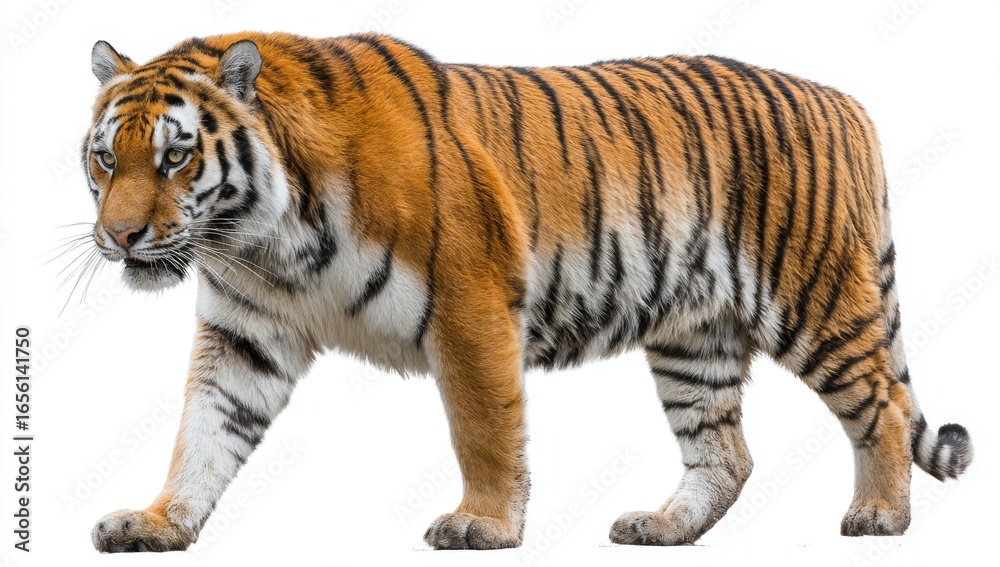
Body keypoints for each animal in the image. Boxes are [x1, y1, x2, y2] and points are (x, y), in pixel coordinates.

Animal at [81, 31, 972, 552]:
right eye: (105, 158)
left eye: (175, 157)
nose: (119, 236)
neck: (264, 240)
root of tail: (844, 102)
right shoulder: (246, 329)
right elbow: (203, 431)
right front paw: (158, 521)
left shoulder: (469, 304)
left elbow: (483, 428)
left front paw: (483, 523)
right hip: (696, 337)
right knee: (725, 452)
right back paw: (663, 526)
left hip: (816, 300)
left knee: (885, 404)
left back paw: (879, 516)